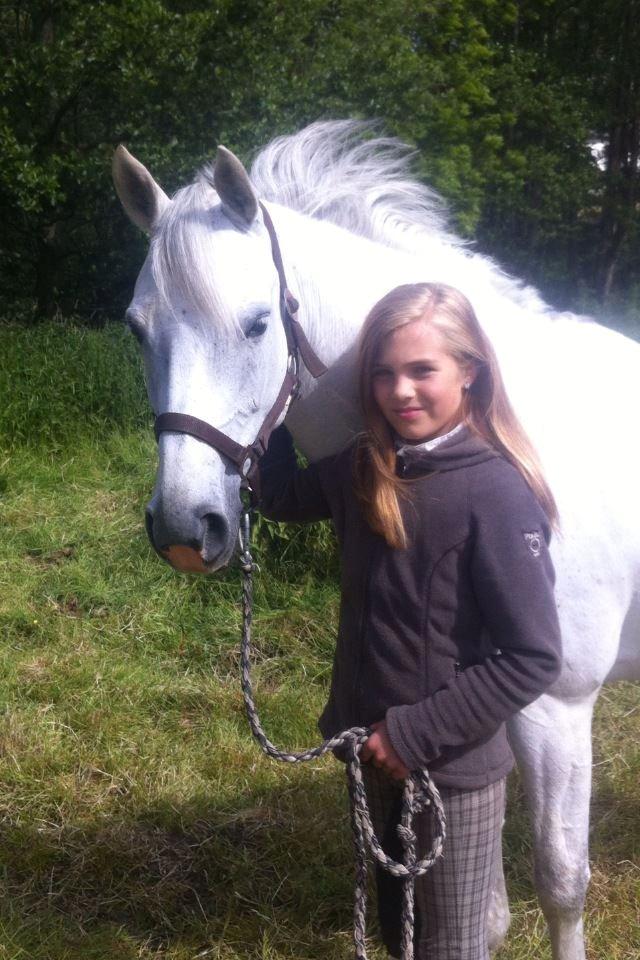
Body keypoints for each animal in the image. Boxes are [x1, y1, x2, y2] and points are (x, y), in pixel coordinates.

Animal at [112, 120, 640, 960]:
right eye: (137, 329)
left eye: (257, 323)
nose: (185, 528)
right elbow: (479, 911)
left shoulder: (557, 708)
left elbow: (563, 882)